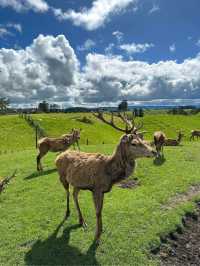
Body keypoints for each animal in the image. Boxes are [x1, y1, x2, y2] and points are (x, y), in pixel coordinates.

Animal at [55, 111, 156, 244]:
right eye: (134, 143)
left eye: (142, 140)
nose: (154, 152)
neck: (110, 174)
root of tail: (58, 156)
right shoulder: (96, 188)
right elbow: (97, 212)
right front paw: (97, 237)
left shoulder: (102, 191)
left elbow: (101, 210)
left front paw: (101, 230)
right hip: (62, 177)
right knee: (67, 192)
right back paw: (68, 212)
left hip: (78, 183)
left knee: (74, 194)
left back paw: (82, 221)